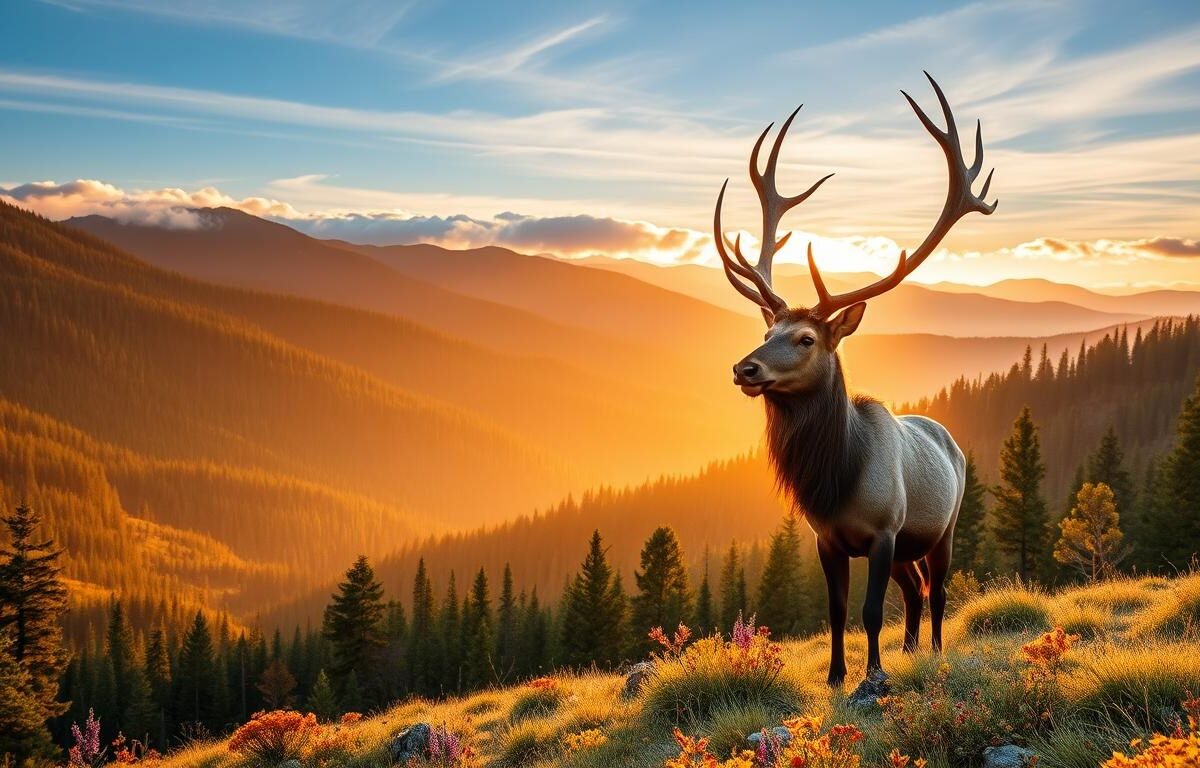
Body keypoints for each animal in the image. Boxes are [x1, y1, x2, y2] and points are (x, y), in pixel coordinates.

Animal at [712, 73, 996, 691]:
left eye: (805, 339)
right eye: (768, 328)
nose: (744, 368)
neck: (838, 478)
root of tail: (949, 436)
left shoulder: (886, 530)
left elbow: (868, 610)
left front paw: (874, 675)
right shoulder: (828, 539)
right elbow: (838, 610)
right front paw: (837, 677)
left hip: (943, 527)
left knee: (937, 591)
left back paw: (932, 651)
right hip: (911, 546)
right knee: (914, 592)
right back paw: (909, 647)